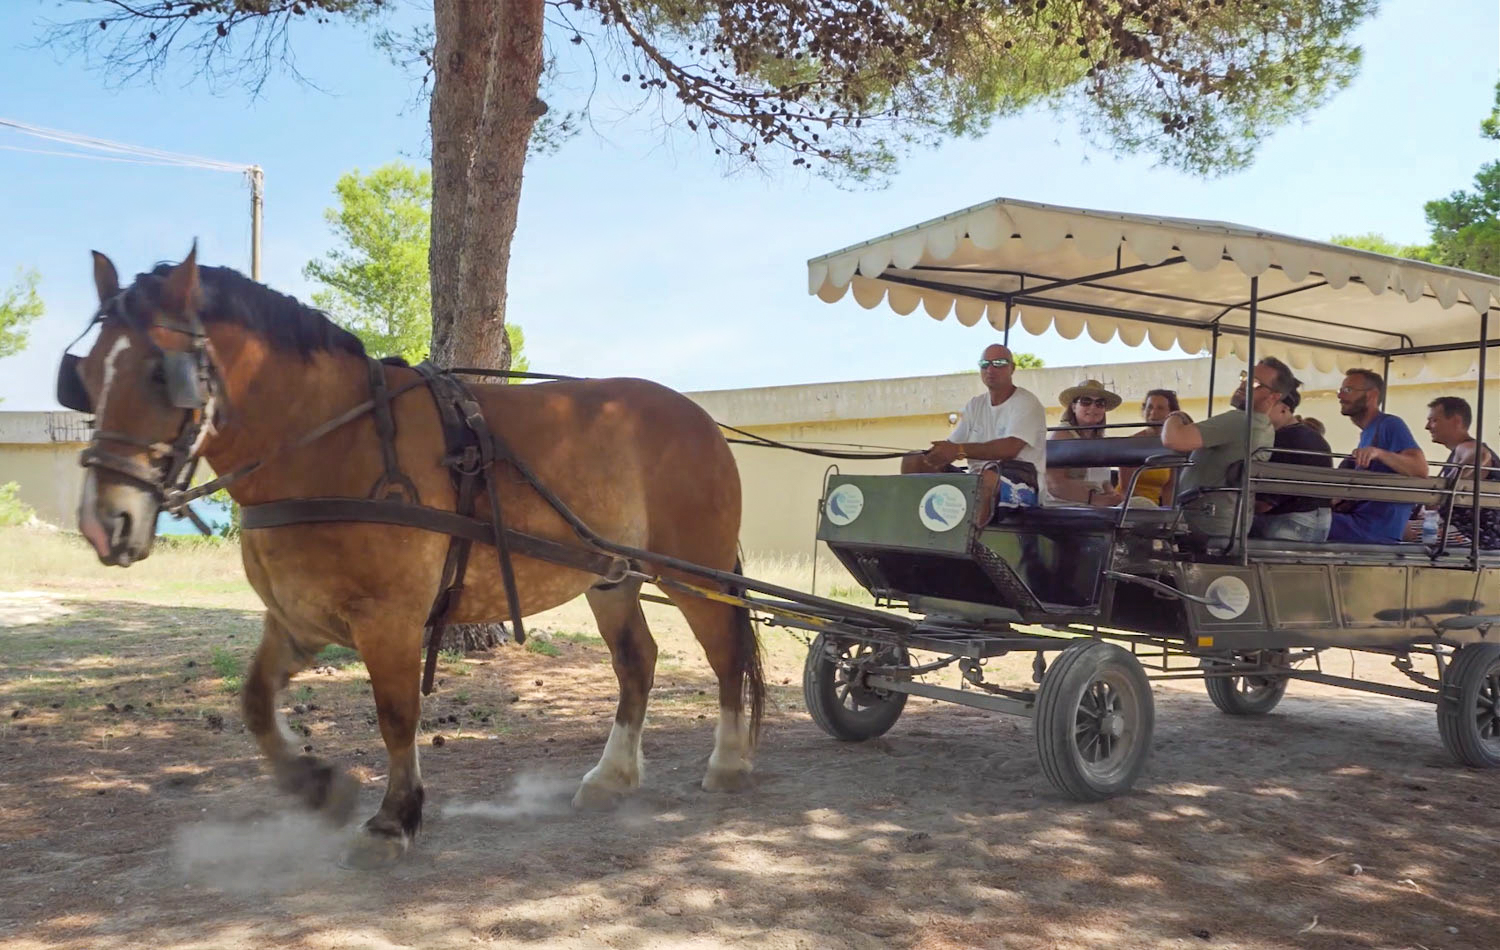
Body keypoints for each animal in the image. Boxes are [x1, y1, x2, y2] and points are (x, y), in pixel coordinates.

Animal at [66, 246, 768, 864]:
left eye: (161, 374)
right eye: (87, 373)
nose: (103, 523)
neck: (329, 440)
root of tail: (702, 420)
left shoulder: (390, 617)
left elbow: (397, 716)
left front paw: (393, 819)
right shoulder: (299, 619)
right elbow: (256, 703)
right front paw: (317, 784)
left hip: (691, 572)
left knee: (725, 652)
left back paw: (729, 762)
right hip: (613, 579)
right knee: (636, 663)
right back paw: (612, 776)